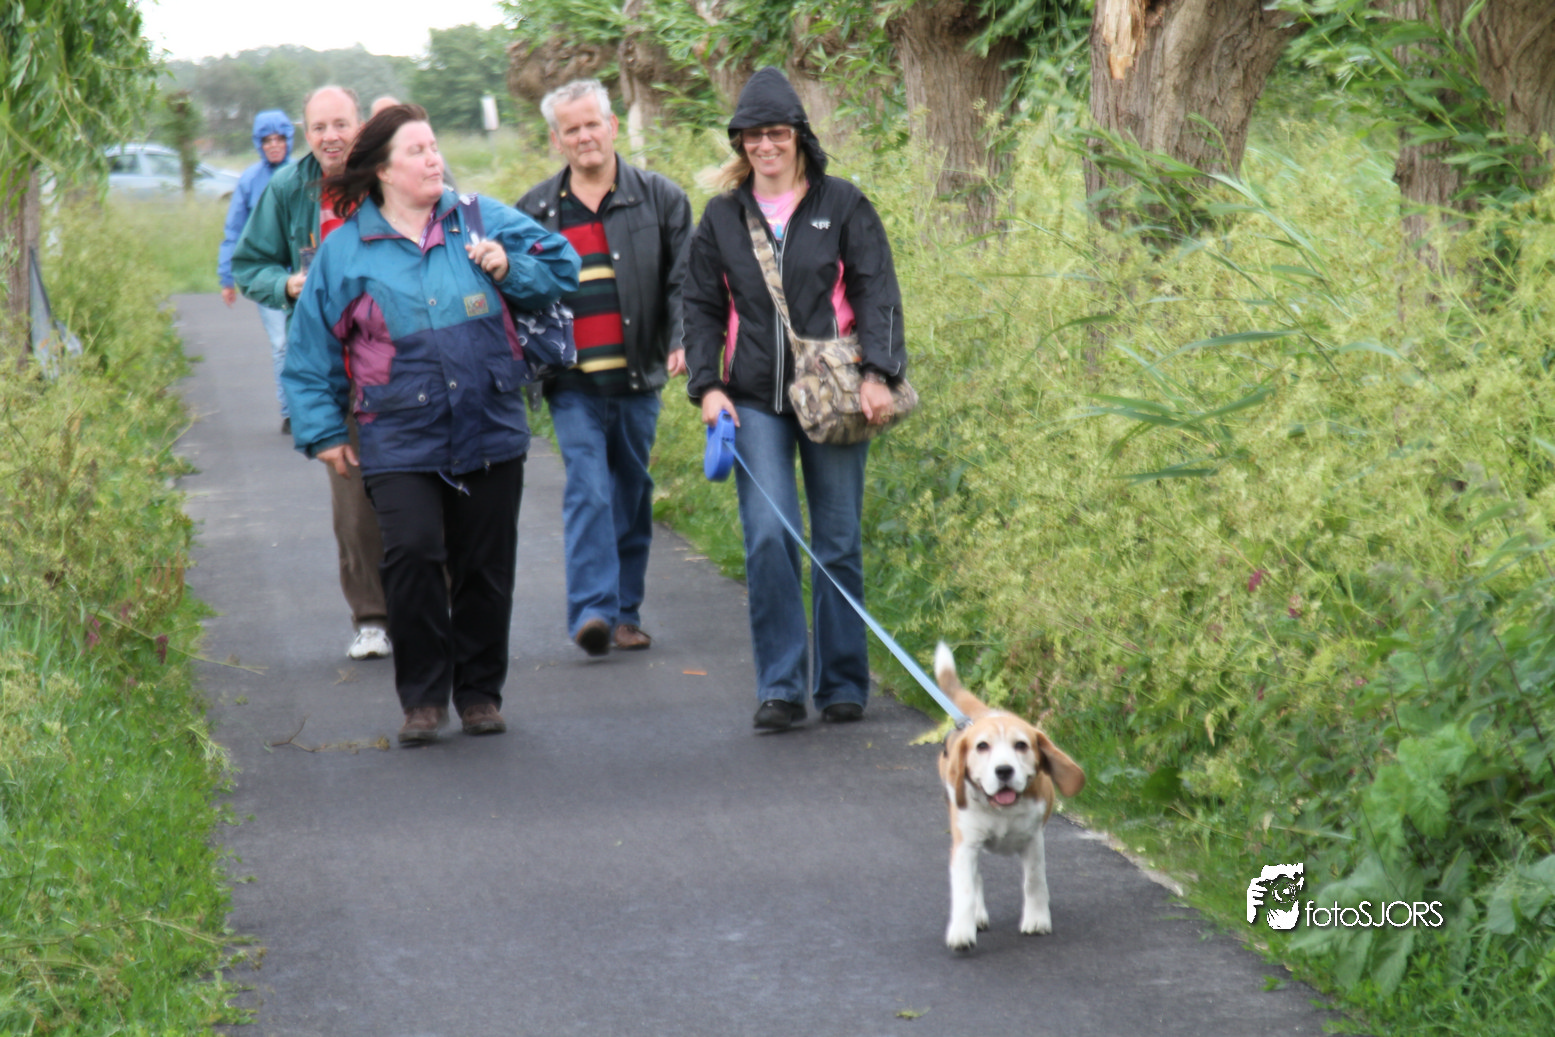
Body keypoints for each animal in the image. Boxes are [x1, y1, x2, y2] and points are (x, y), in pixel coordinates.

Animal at [935, 642, 1085, 951]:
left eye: (1021, 745)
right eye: (982, 747)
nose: (1004, 770)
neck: (1001, 810)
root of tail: (981, 713)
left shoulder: (1033, 840)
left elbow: (1034, 881)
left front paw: (1037, 919)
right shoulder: (965, 844)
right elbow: (966, 888)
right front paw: (962, 931)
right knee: (976, 878)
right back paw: (977, 916)